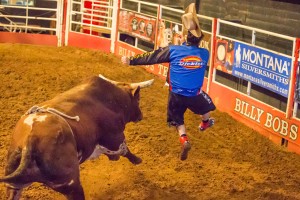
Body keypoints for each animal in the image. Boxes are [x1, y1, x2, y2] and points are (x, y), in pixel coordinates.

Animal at [0, 74, 154, 200]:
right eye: (138, 99)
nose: (140, 116)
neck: (112, 99)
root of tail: (29, 142)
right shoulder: (114, 138)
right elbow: (124, 150)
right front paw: (137, 160)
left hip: (14, 185)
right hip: (72, 186)